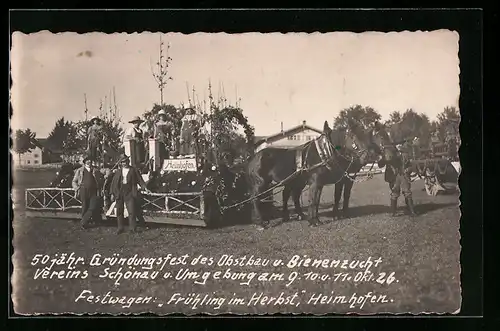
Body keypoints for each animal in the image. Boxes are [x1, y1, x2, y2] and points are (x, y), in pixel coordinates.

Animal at [247, 119, 382, 228]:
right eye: (353, 137)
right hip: (261, 183)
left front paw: (318, 218)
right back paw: (261, 222)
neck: (325, 152)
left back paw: (295, 216)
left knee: (290, 196)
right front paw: (314, 221)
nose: (371, 156)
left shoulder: (328, 182)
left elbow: (325, 199)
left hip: (294, 182)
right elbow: (314, 200)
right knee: (256, 199)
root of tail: (253, 157)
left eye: (367, 136)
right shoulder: (316, 183)